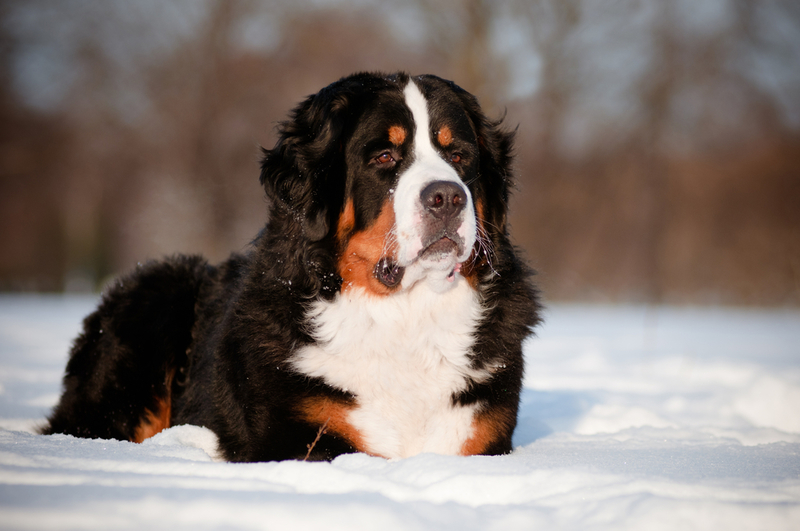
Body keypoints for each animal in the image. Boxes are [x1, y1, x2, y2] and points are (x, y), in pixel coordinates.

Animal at [40, 72, 540, 464]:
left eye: (459, 156)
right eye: (384, 157)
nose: (448, 197)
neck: (404, 315)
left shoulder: (483, 436)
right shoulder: (297, 436)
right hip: (157, 295)